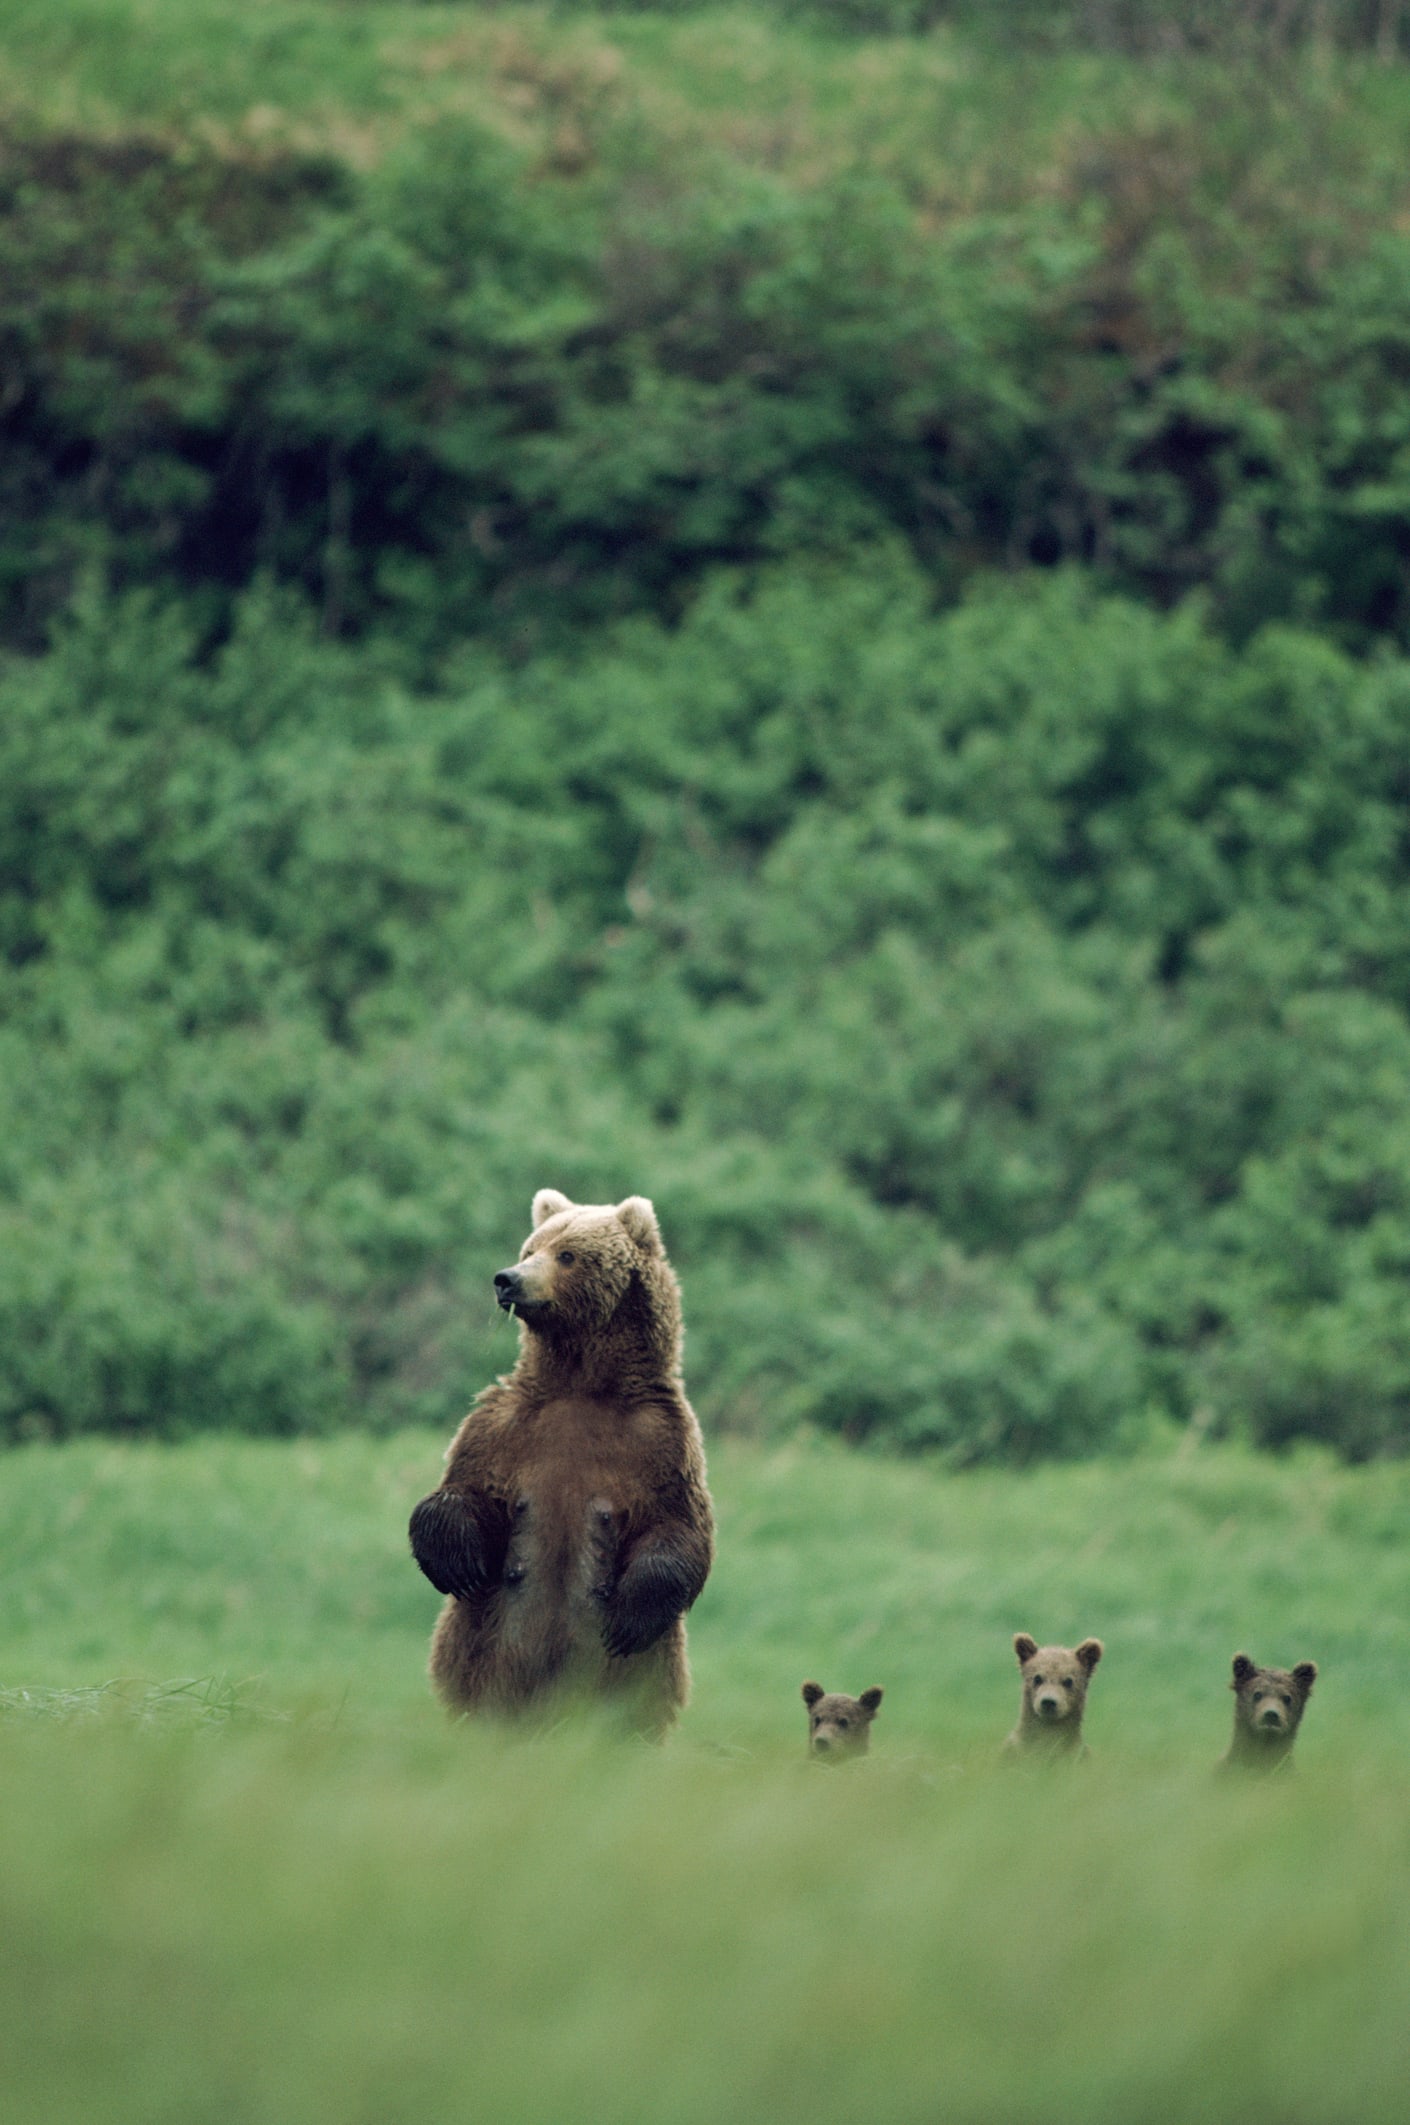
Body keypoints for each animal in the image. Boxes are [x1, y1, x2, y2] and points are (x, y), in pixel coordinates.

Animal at [407, 1190, 717, 1734]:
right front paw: (457, 1562)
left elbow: (678, 1528)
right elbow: (465, 1489)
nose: (507, 1278)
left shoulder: (661, 1441)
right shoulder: (506, 1426)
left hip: (635, 1681)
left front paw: (631, 1615)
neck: (581, 1382)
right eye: (531, 1247)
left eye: (568, 1254)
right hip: (483, 1657)